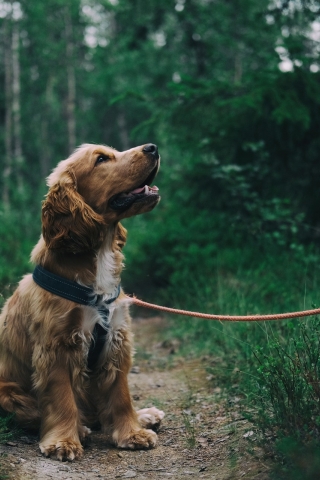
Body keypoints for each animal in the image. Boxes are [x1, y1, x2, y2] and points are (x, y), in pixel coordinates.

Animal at [0, 142, 165, 462]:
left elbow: (121, 395)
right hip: (8, 393)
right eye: (101, 159)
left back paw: (145, 415)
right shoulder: (57, 347)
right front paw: (64, 441)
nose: (153, 147)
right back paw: (82, 429)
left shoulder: (116, 339)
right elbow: (62, 398)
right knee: (37, 413)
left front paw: (132, 433)